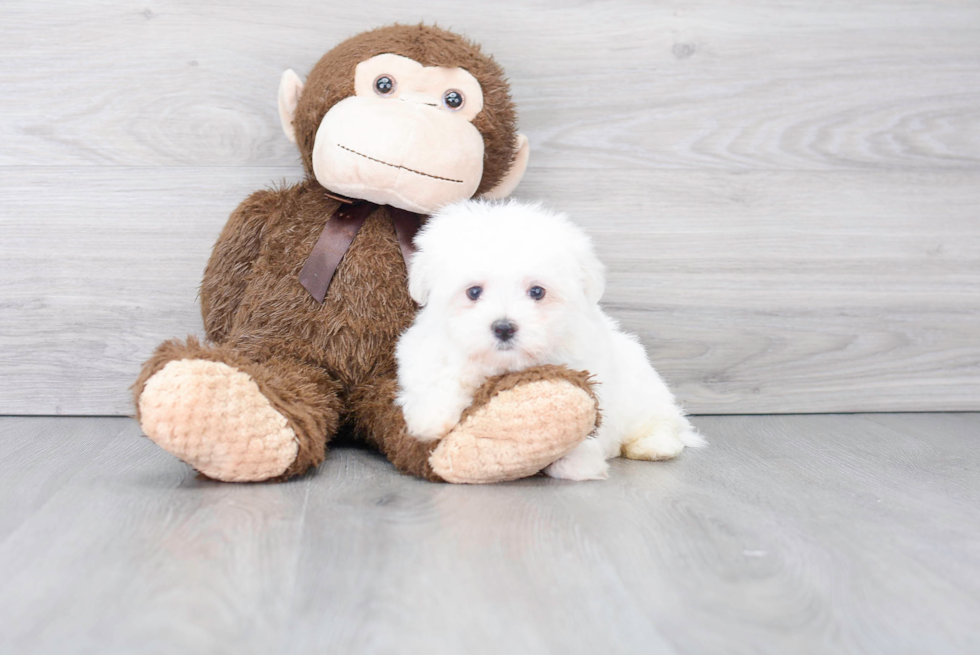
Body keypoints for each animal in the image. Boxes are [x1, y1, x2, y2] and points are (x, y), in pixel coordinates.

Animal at [394, 200, 700, 482]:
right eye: (474, 292)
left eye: (537, 292)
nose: (504, 328)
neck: (507, 363)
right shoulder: (427, 348)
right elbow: (439, 373)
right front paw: (430, 419)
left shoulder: (589, 369)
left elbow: (590, 417)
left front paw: (577, 463)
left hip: (643, 390)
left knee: (661, 420)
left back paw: (653, 445)